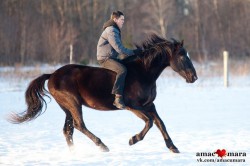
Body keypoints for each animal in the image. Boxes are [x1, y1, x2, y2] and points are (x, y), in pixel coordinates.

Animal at [8, 34, 197, 154]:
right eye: (182, 56)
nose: (194, 77)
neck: (143, 73)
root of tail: (52, 75)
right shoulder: (132, 106)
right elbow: (149, 122)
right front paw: (133, 139)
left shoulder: (149, 105)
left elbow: (160, 123)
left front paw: (173, 147)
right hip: (73, 103)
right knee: (78, 125)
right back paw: (102, 146)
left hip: (67, 107)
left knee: (68, 130)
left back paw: (75, 153)